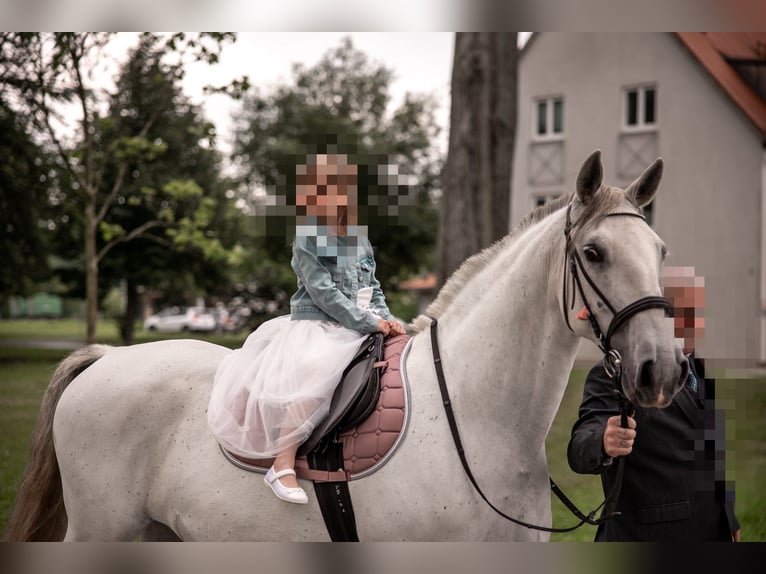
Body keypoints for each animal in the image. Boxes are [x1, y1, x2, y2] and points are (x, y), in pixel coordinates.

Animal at [4, 151, 688, 544]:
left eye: (660, 252)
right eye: (594, 253)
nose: (661, 370)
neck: (475, 417)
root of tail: (107, 358)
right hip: (102, 533)